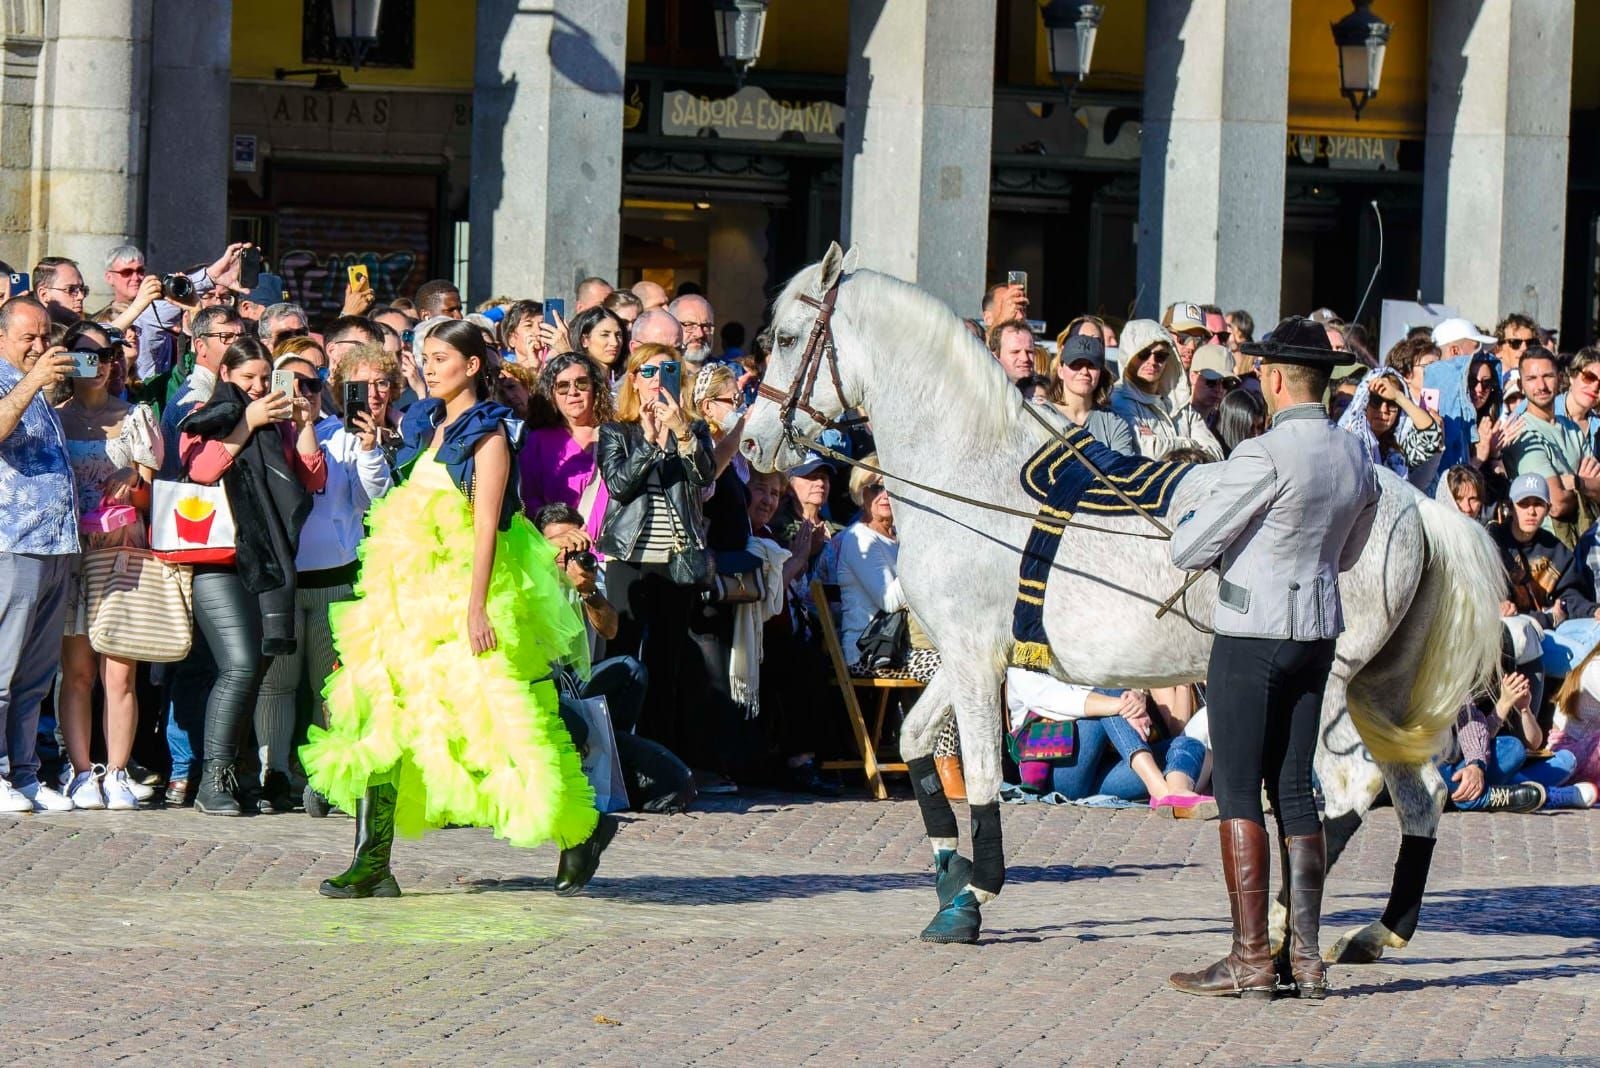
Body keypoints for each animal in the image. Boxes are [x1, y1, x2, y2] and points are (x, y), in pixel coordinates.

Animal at [736, 246, 1497, 952]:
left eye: (786, 338)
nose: (749, 443)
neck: (971, 475)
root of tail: (1412, 505)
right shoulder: (965, 655)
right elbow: (916, 740)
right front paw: (950, 871)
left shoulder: (975, 658)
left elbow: (978, 775)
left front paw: (971, 897)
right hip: (1375, 690)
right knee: (1420, 796)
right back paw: (1376, 933)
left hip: (1333, 690)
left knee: (1349, 795)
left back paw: (1288, 922)